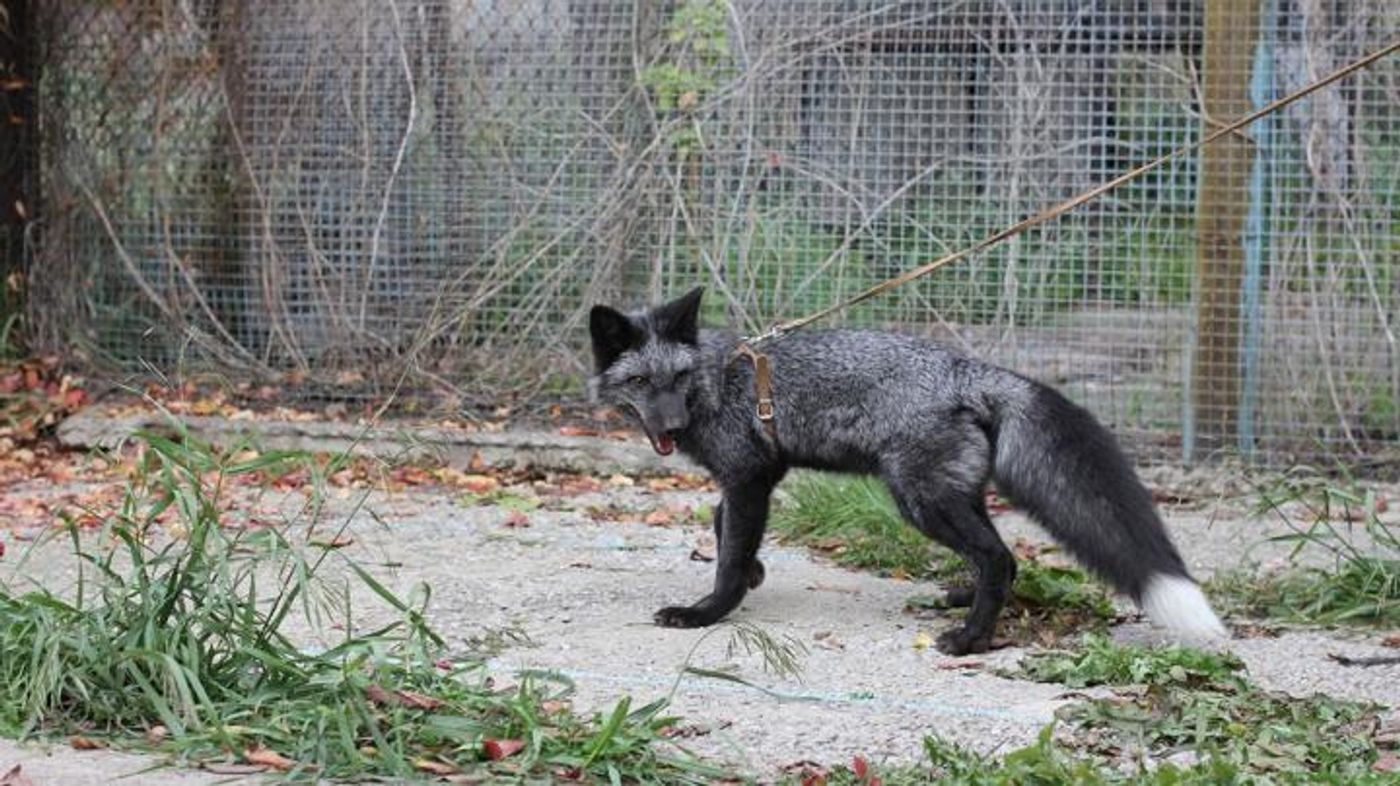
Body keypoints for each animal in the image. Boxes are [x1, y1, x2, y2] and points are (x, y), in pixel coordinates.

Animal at [590, 284, 1226, 652]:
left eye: (677, 379)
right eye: (641, 382)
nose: (672, 426)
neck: (717, 381)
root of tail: (968, 369)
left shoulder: (749, 476)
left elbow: (726, 552)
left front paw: (707, 611)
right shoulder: (757, 476)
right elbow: (724, 529)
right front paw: (753, 574)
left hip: (918, 499)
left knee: (998, 557)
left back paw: (970, 640)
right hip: (951, 494)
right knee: (1003, 557)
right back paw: (964, 601)